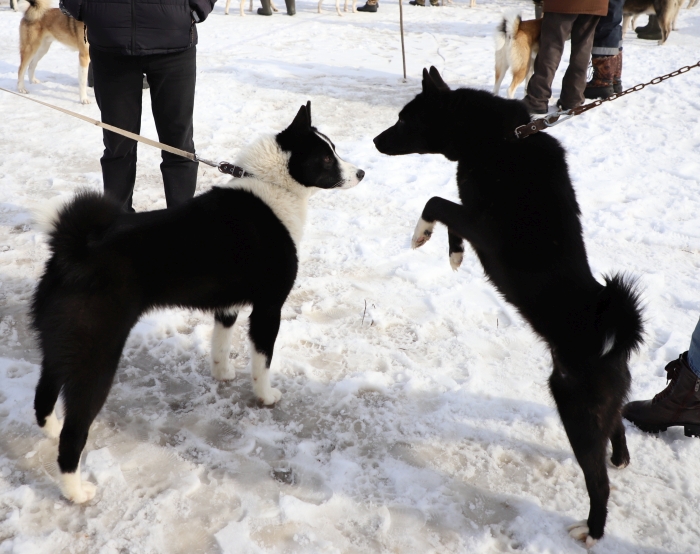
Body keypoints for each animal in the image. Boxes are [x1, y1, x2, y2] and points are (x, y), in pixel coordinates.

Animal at [30, 101, 364, 502]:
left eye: (334, 150)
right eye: (326, 158)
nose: (361, 172)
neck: (272, 184)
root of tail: (75, 252)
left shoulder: (227, 307)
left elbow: (220, 344)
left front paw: (223, 374)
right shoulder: (269, 308)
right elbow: (262, 361)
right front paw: (266, 396)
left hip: (58, 348)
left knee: (43, 396)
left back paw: (50, 429)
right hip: (95, 362)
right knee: (74, 435)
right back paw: (76, 491)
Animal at [374, 68, 644, 544]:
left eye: (406, 120)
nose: (374, 141)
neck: (498, 139)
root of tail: (615, 332)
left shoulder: (483, 226)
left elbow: (436, 202)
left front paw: (423, 233)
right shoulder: (471, 219)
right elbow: (447, 211)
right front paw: (454, 253)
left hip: (575, 408)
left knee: (598, 481)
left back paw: (592, 529)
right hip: (598, 406)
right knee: (616, 430)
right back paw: (621, 458)